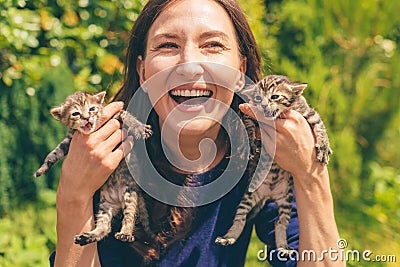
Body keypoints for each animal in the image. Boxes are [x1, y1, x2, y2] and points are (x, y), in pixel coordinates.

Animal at [34, 92, 156, 247]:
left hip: (130, 193)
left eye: (92, 109)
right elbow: (55, 152)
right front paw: (42, 168)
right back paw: (88, 236)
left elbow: (126, 115)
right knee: (105, 226)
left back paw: (125, 233)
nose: (87, 117)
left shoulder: (115, 116)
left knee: (129, 215)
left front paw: (140, 127)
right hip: (105, 204)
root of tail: (117, 199)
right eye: (76, 113)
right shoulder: (69, 139)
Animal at [214, 75, 332, 255]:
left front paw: (324, 147)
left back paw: (283, 246)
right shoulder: (249, 114)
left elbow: (319, 125)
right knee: (240, 218)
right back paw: (229, 237)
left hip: (286, 200)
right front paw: (250, 143)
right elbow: (248, 124)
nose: (263, 104)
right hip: (250, 195)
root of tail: (268, 194)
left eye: (275, 96)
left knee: (280, 223)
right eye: (257, 98)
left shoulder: (307, 111)